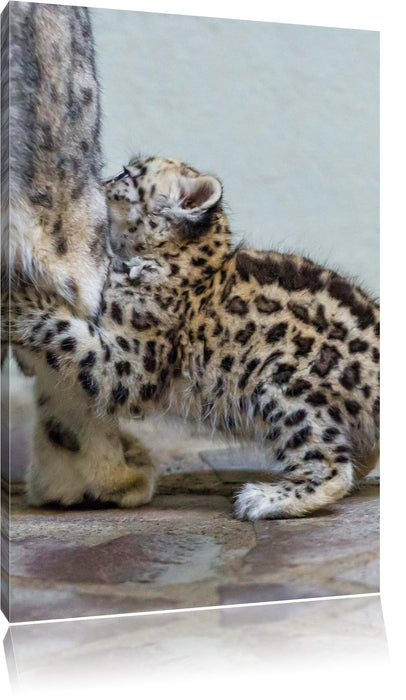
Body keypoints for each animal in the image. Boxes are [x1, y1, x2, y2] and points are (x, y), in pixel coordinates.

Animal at [7, 155, 380, 520]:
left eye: (127, 174)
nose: (98, 184)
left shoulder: (131, 364)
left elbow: (68, 335)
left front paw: (18, 304)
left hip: (284, 388)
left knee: (332, 467)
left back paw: (262, 499)